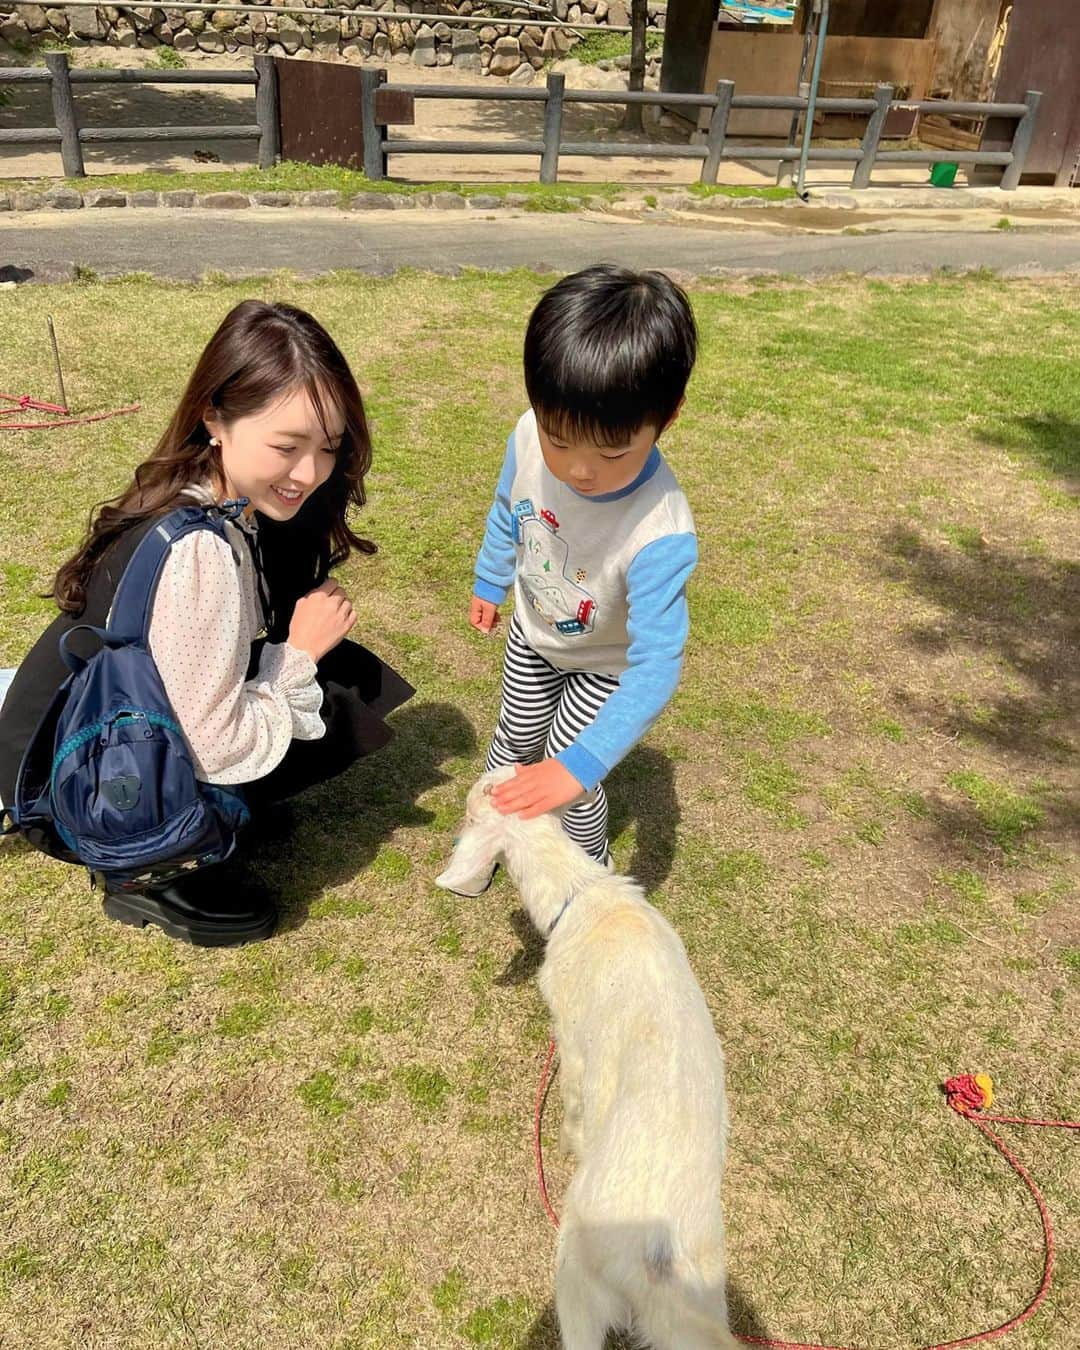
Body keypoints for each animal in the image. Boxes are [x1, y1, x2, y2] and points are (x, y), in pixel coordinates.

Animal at [437, 772, 734, 1350]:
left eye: (470, 811)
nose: (455, 823)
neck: (582, 895)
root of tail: (655, 1263)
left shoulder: (570, 1037)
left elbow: (572, 1096)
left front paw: (565, 1141)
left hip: (577, 1272)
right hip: (707, 1290)